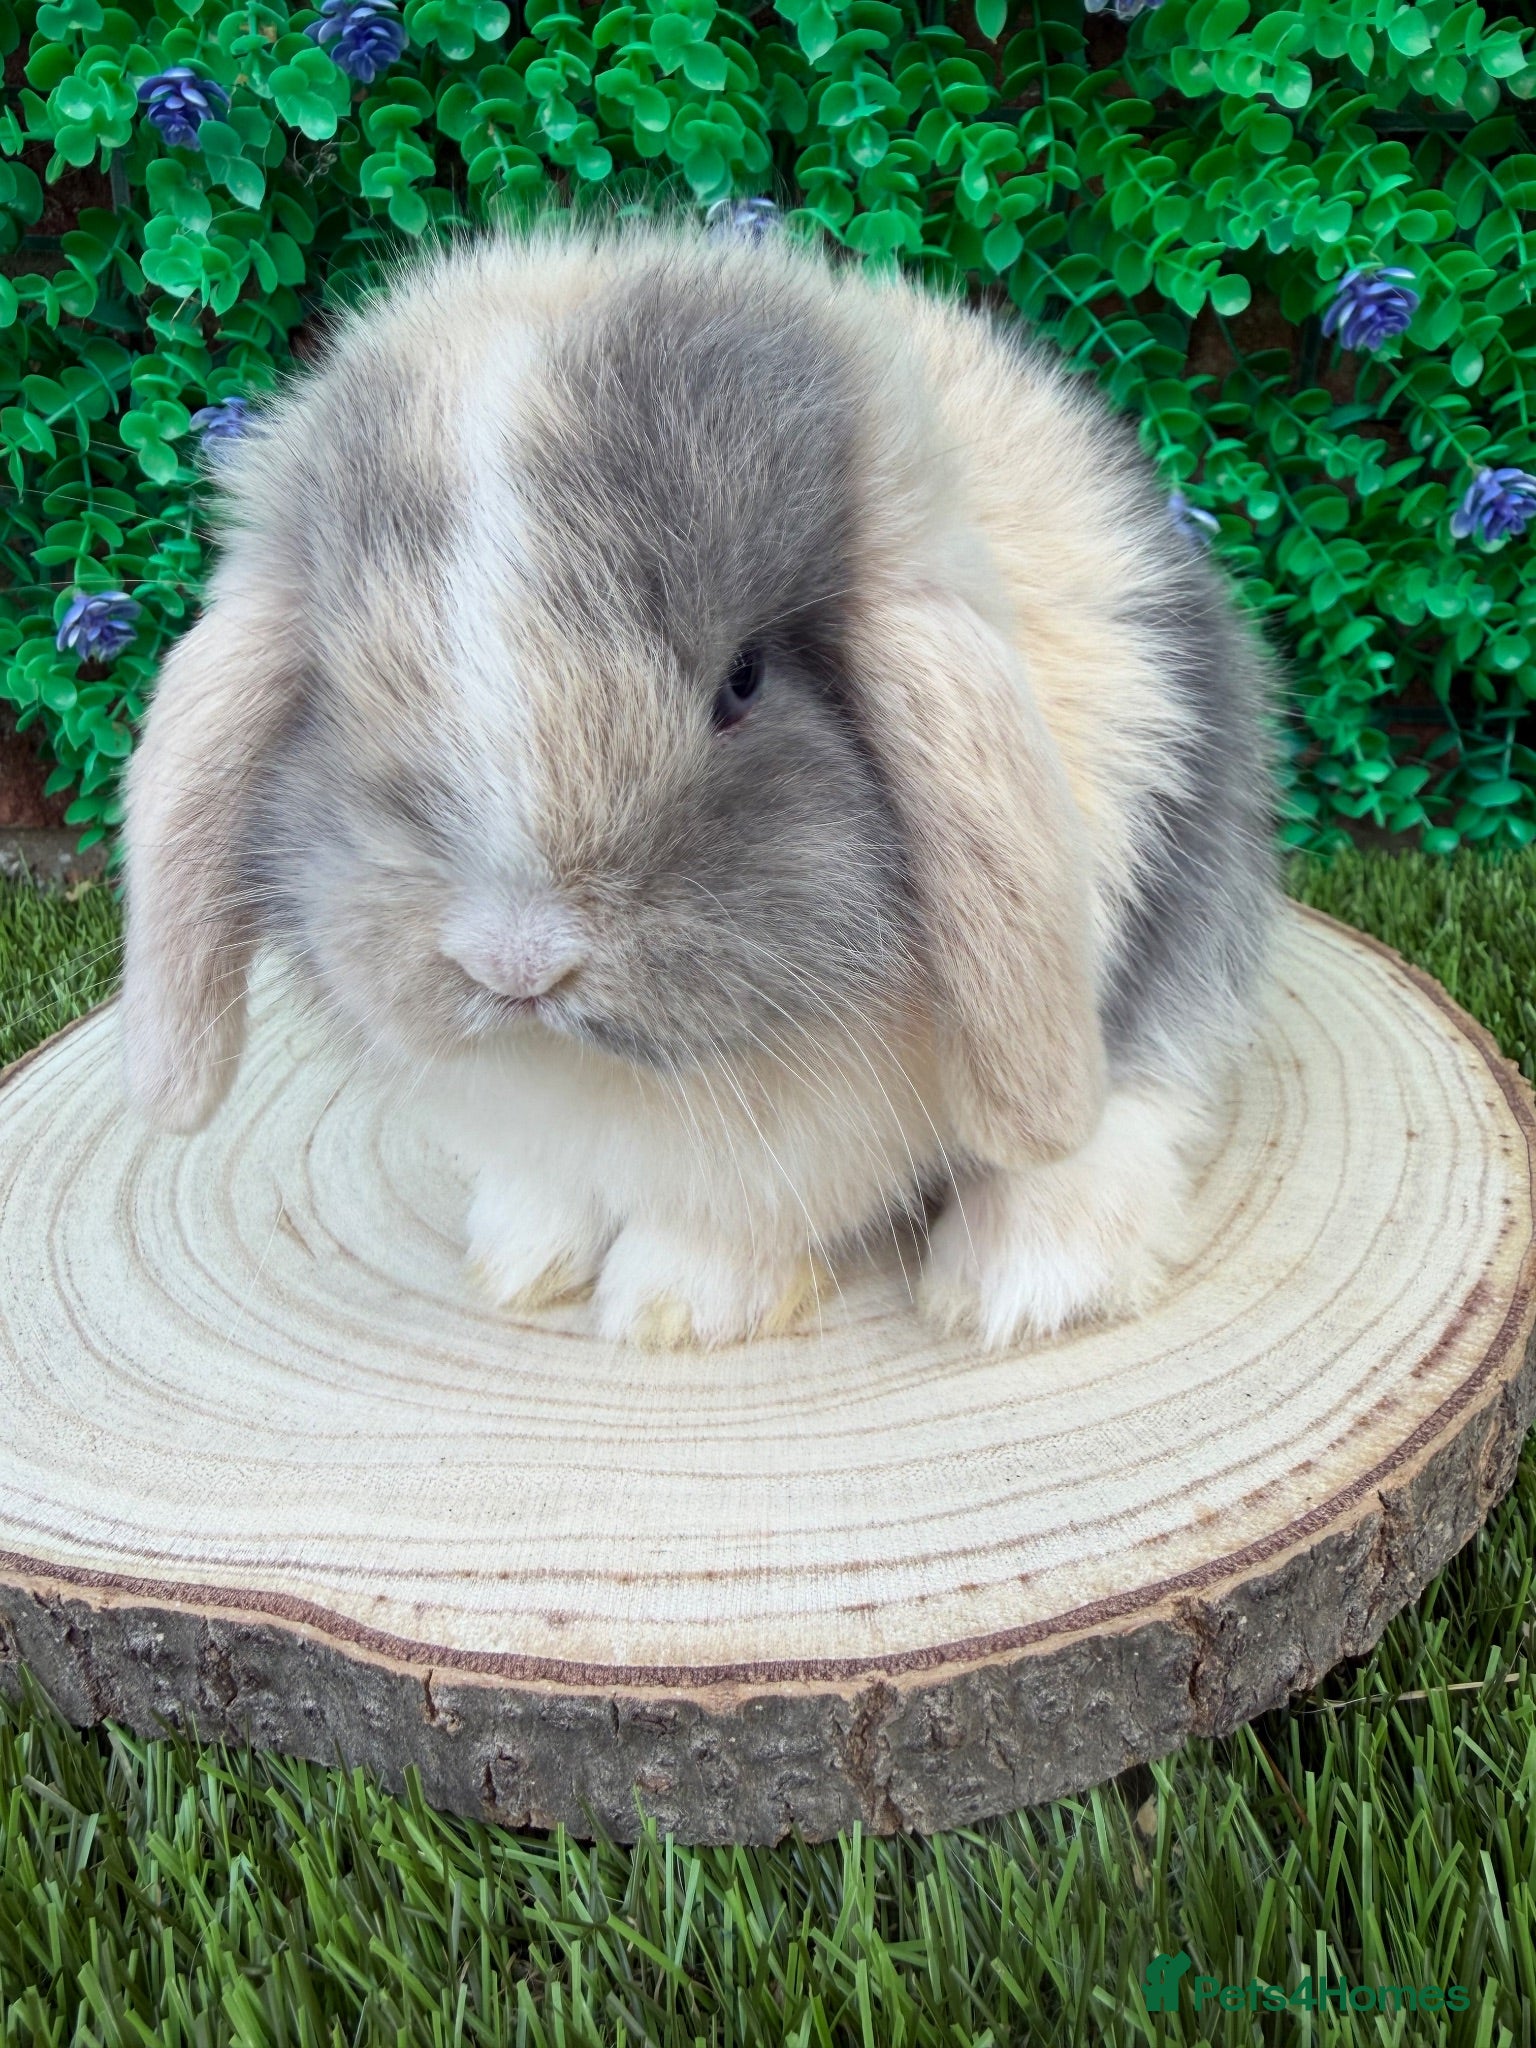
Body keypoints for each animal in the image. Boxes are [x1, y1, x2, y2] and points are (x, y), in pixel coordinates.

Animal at [120, 217, 1277, 1351]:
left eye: (744, 680)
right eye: (337, 684)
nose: (517, 965)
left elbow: (728, 1223)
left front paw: (674, 1303)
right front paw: (523, 1256)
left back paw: (1020, 1277)